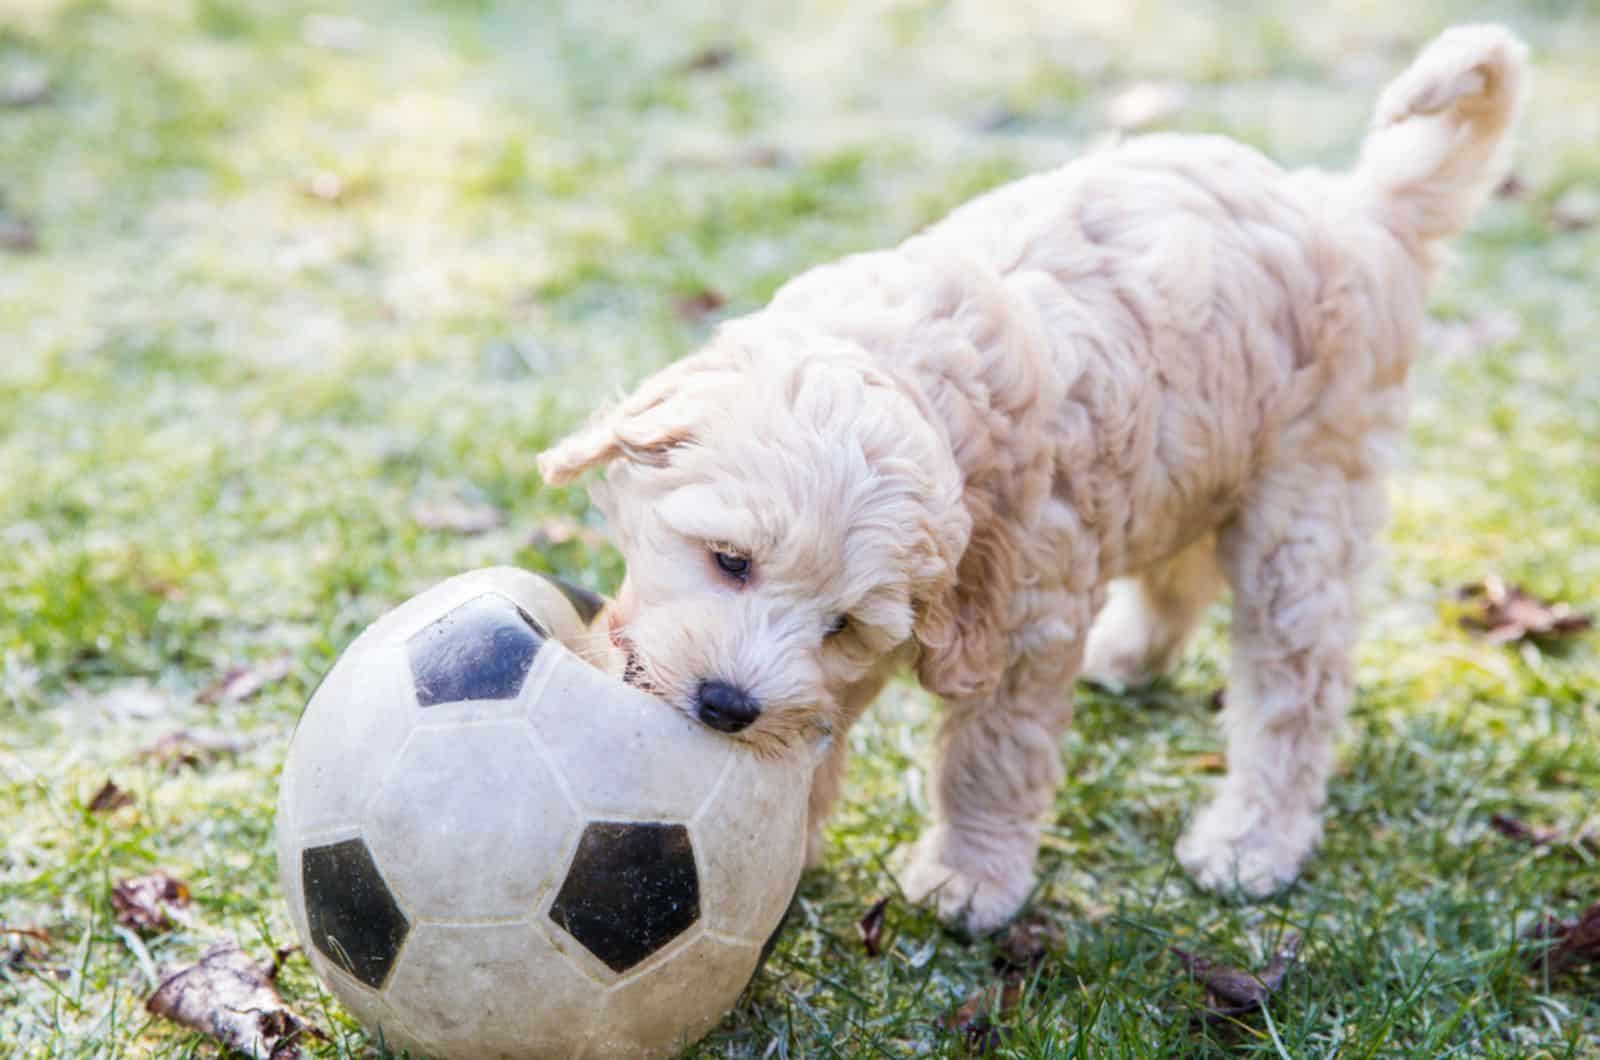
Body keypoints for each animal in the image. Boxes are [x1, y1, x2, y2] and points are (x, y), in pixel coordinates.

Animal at [540, 27, 1523, 941]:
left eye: (841, 623)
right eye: (731, 561)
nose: (727, 707)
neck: (919, 381)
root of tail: (1353, 210)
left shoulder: (1022, 620)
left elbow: (991, 755)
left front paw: (970, 877)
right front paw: (792, 850)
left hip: (1307, 500)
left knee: (1296, 684)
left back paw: (1253, 841)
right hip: (1201, 457)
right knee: (1181, 566)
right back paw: (1130, 655)